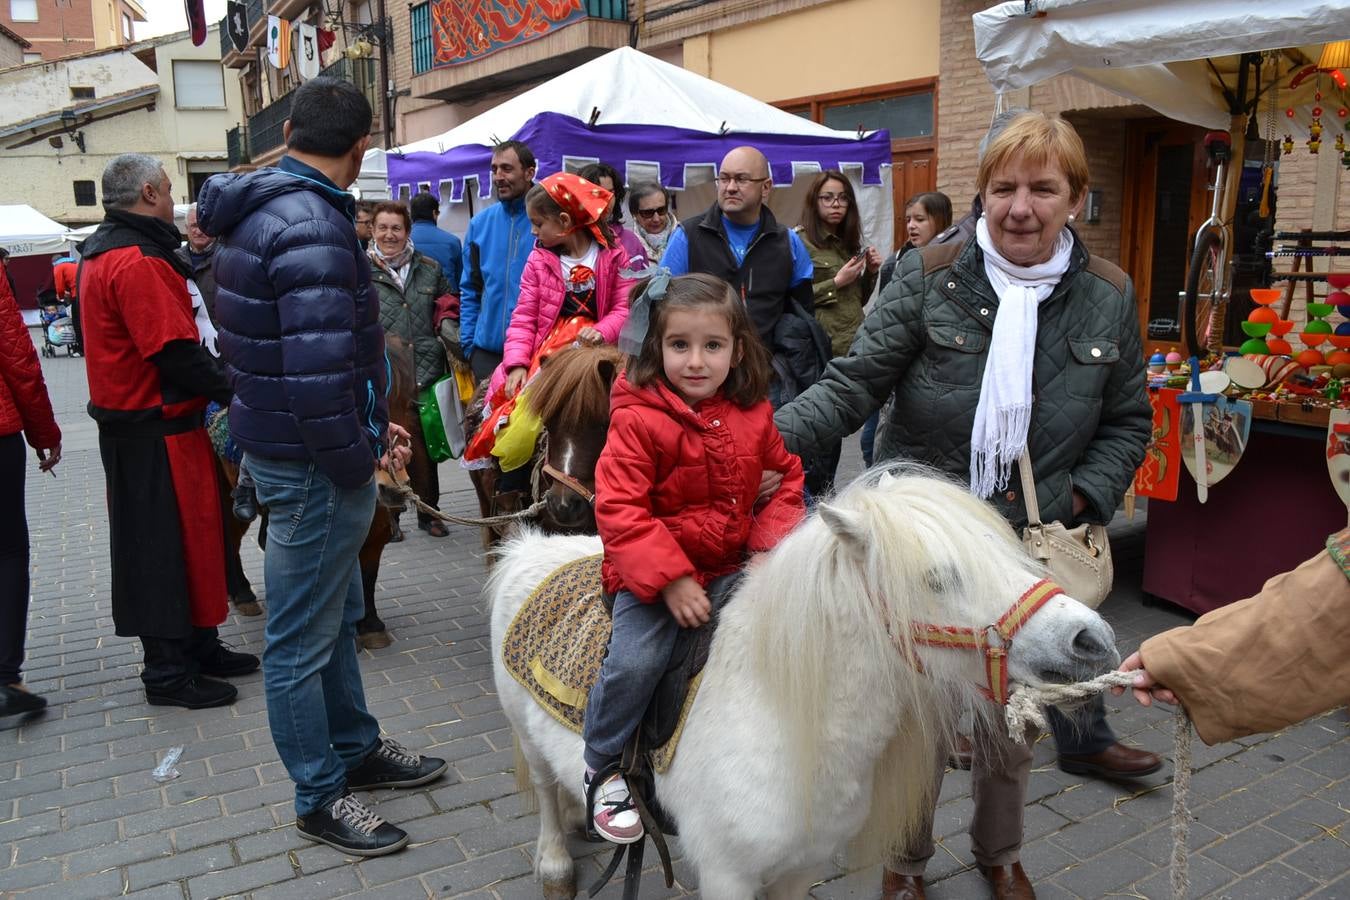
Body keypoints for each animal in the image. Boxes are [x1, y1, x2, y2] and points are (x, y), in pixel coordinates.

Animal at [486, 469, 1117, 895]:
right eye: (937, 577)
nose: (1091, 639)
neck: (775, 714)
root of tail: (533, 546)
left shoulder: (801, 868)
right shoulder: (727, 875)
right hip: (524, 730)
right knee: (544, 789)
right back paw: (556, 862)